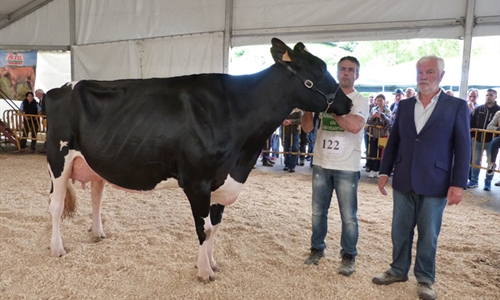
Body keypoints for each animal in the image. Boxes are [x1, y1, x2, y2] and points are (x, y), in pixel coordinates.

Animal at [46, 37, 352, 282]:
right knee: (56, 206)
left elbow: (214, 227)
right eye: (320, 68)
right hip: (57, 158)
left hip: (94, 162)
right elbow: (203, 228)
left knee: (96, 195)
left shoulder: (221, 182)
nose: (348, 103)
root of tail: (58, 89)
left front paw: (212, 263)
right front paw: (204, 272)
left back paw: (98, 233)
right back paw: (57, 248)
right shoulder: (197, 182)